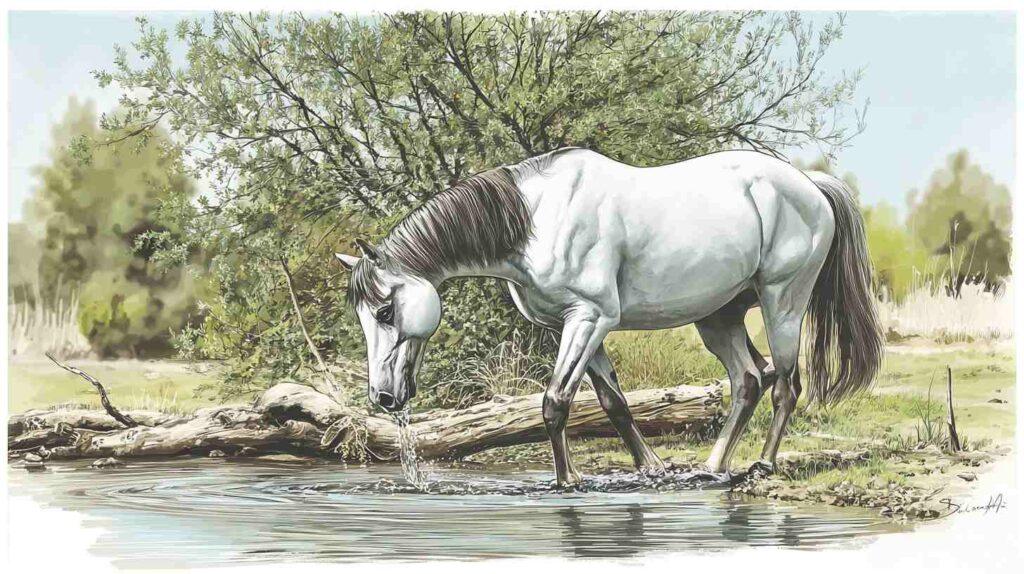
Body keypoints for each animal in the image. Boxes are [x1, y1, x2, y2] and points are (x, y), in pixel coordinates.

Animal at [335, 148, 883, 485]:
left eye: (384, 310)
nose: (383, 397)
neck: (535, 221)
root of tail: (810, 184)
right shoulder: (582, 326)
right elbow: (613, 403)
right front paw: (652, 469)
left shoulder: (588, 318)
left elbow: (555, 402)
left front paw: (567, 481)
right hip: (719, 318)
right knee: (750, 380)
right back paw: (710, 467)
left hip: (782, 302)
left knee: (786, 385)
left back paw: (762, 466)